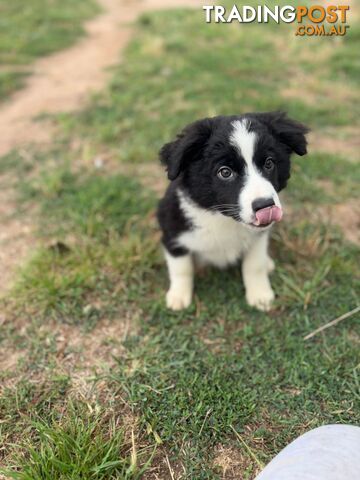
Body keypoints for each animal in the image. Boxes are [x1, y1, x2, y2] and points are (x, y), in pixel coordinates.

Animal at [156, 112, 308, 312]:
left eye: (269, 163)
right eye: (225, 172)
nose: (265, 205)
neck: (222, 217)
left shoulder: (258, 237)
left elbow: (254, 265)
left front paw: (260, 295)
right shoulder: (172, 231)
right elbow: (181, 267)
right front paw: (178, 297)